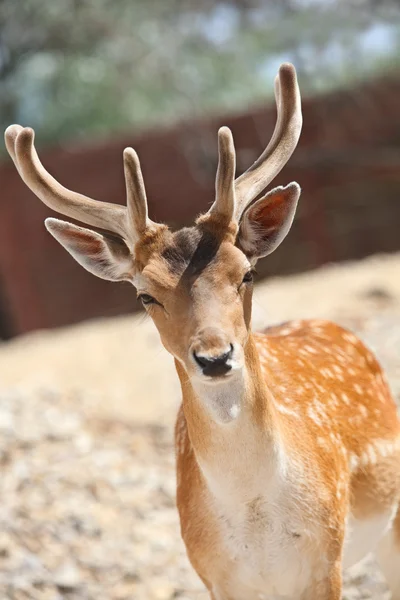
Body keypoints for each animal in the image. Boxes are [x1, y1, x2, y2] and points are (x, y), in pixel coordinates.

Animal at [4, 63, 400, 596]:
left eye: (246, 273)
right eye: (144, 295)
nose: (215, 356)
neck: (258, 522)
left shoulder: (325, 563)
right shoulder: (214, 575)